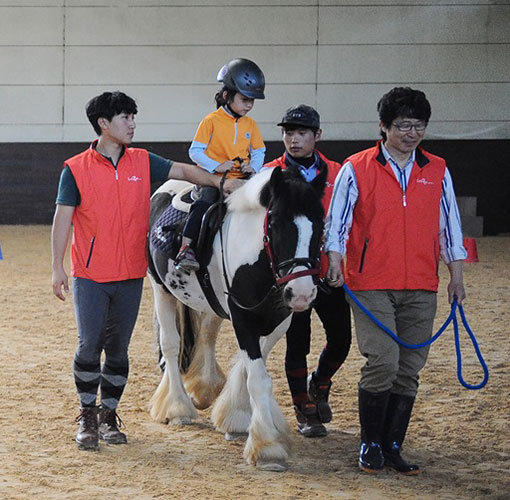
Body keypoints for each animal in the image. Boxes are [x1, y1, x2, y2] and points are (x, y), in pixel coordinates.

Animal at [145, 166, 324, 470]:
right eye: (275, 224)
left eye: (321, 224)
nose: (301, 293)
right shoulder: (242, 318)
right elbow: (258, 378)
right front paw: (268, 447)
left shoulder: (278, 321)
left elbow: (249, 367)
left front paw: (236, 418)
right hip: (161, 290)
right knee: (170, 345)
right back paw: (177, 407)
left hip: (210, 304)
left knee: (206, 336)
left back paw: (204, 388)